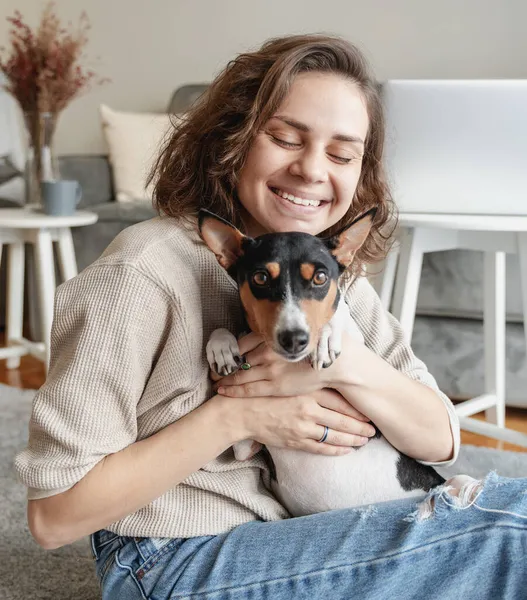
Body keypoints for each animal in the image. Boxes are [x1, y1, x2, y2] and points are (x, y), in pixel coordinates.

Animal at [199, 207, 446, 516]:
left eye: (320, 278)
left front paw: (326, 337)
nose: (294, 339)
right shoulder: (246, 446)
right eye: (260, 278)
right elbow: (223, 330)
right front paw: (221, 346)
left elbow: (340, 311)